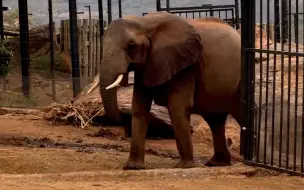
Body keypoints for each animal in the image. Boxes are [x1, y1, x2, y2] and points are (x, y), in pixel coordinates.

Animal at [100, 12, 242, 170]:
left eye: (131, 46)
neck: (144, 22)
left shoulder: (186, 65)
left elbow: (177, 107)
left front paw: (185, 167)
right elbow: (139, 107)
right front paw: (133, 167)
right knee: (215, 119)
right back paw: (217, 163)